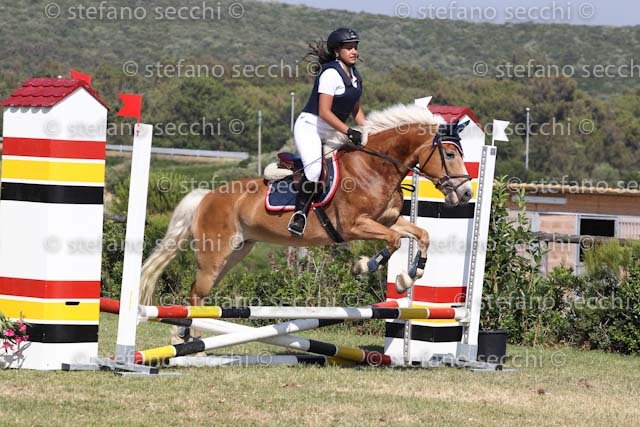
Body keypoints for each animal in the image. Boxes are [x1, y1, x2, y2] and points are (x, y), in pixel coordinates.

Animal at [139, 103, 473, 324]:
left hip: (235, 252)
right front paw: (366, 266)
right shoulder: (354, 225)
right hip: (213, 256)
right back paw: (187, 343)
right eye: (450, 154)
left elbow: (421, 235)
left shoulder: (387, 220)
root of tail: (206, 196)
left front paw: (410, 276)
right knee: (196, 295)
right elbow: (393, 241)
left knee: (201, 295)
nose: (467, 194)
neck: (374, 167)